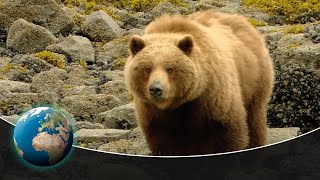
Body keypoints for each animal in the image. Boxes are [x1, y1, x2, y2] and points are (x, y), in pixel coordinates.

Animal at [124, 10, 274, 156]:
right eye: (147, 68)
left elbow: (229, 133)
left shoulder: (213, 97)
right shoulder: (153, 113)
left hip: (254, 80)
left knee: (255, 118)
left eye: (170, 69)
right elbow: (164, 142)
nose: (156, 89)